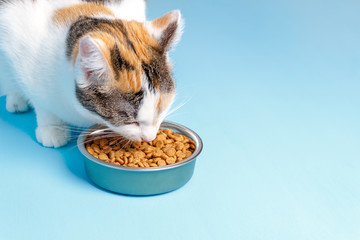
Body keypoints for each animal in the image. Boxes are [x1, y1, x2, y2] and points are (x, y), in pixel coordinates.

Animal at [0, 0, 183, 147]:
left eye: (160, 110)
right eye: (129, 119)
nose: (149, 138)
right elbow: (41, 102)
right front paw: (52, 128)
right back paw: (15, 99)